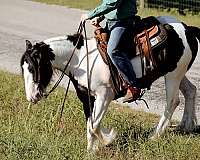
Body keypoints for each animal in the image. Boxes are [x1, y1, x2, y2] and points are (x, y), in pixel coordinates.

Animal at [20, 16, 200, 151]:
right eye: (23, 68)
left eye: (32, 68)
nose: (32, 97)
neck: (81, 59)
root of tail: (187, 29)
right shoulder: (87, 98)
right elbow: (90, 124)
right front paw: (91, 150)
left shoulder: (104, 96)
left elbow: (94, 125)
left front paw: (108, 139)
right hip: (178, 74)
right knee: (190, 90)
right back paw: (186, 126)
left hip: (173, 75)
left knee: (172, 102)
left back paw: (155, 135)